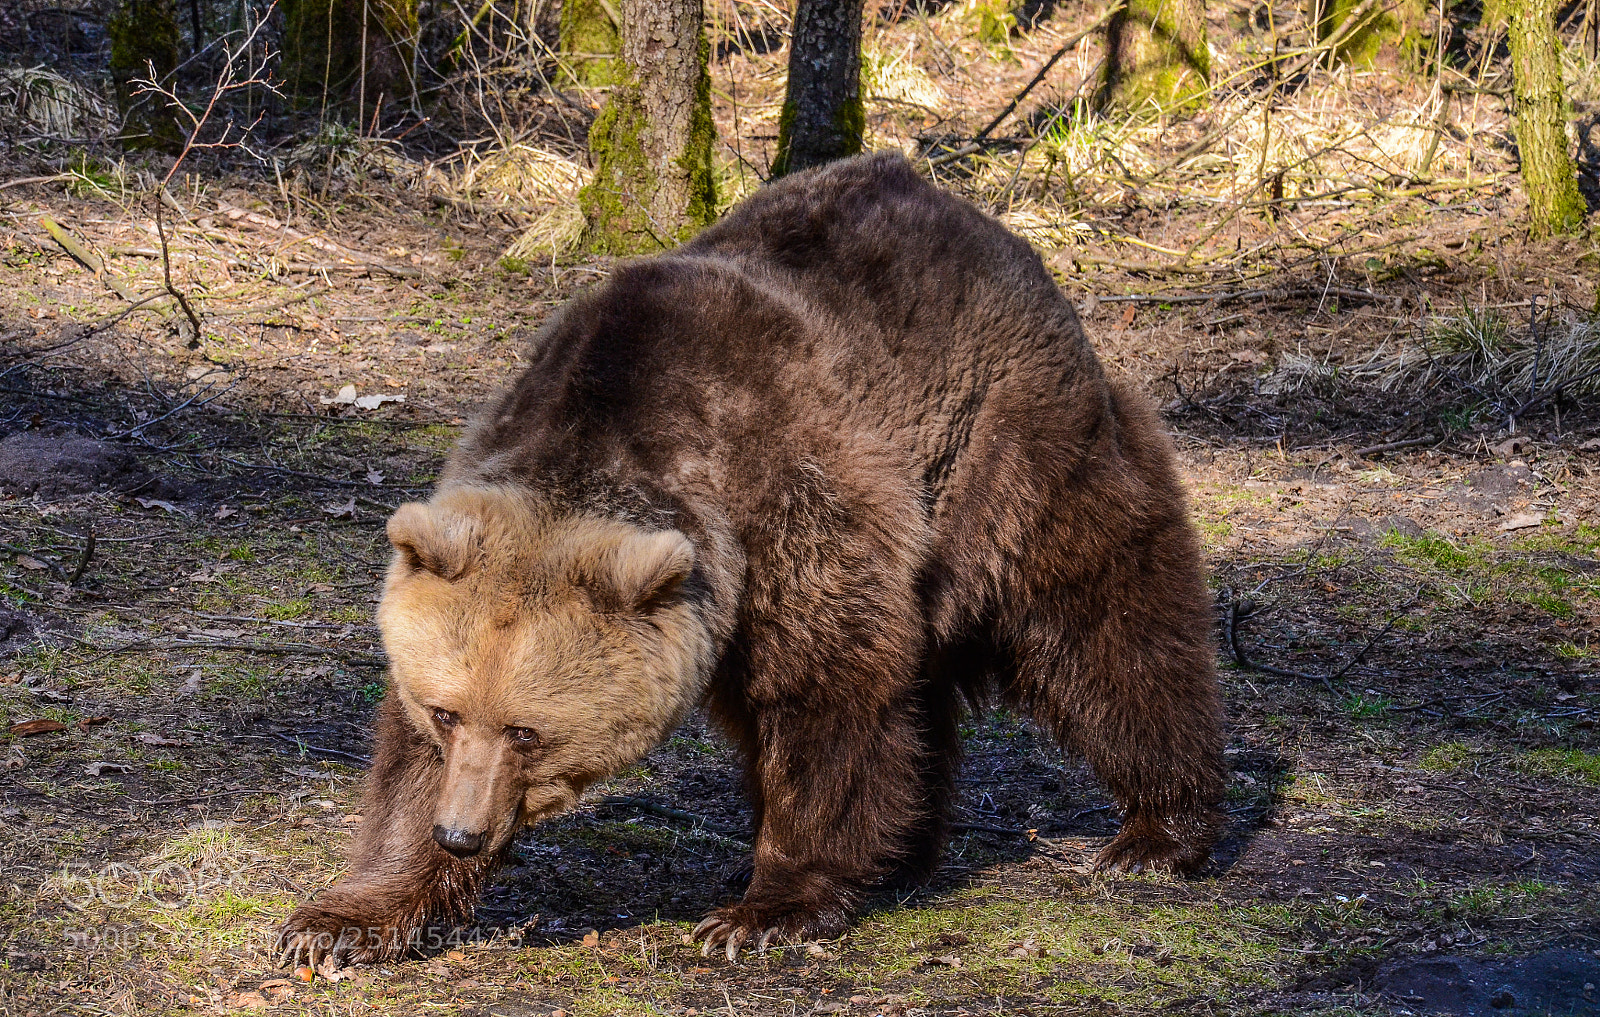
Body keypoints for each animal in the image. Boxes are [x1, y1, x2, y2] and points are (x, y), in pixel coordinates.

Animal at [277, 152, 1224, 967]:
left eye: (527, 728)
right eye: (447, 712)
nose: (463, 830)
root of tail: (980, 219)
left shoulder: (792, 503)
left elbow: (825, 693)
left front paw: (763, 910)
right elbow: (401, 769)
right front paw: (340, 920)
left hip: (1005, 455)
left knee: (1105, 629)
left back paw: (1157, 831)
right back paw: (908, 850)